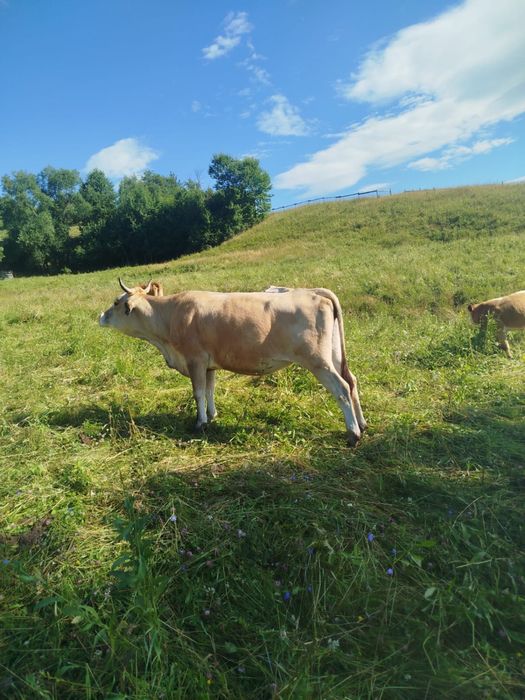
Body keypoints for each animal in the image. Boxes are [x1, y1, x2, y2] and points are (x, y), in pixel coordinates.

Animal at [99, 279, 367, 445]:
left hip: (317, 360)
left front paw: (200, 423)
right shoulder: (209, 364)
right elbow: (209, 391)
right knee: (352, 381)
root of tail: (313, 291)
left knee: (342, 387)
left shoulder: (195, 360)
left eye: (115, 302)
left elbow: (198, 393)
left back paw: (353, 434)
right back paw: (362, 424)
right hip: (334, 354)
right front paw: (212, 416)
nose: (101, 316)